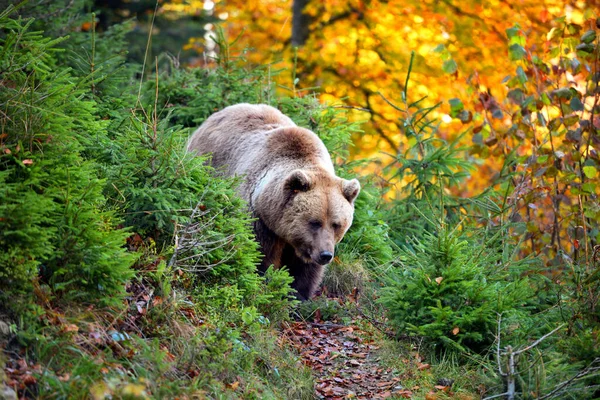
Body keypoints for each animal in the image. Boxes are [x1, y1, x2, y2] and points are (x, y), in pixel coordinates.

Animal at [188, 103, 358, 300]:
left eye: (336, 224)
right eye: (315, 222)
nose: (326, 255)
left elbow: (305, 270)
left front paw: (298, 296)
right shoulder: (259, 219)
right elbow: (259, 255)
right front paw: (266, 285)